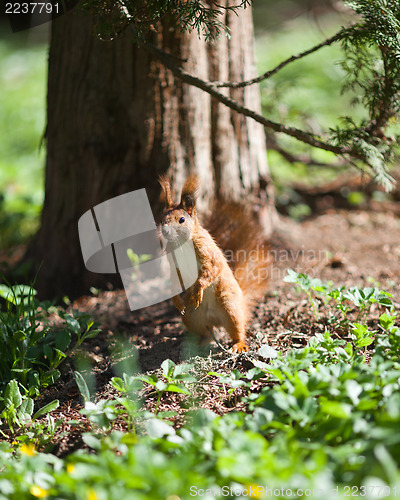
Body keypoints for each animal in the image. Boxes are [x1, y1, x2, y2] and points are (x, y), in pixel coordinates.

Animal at [159, 175, 268, 352]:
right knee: (205, 332)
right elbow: (175, 278)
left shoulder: (208, 253)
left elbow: (212, 270)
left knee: (238, 328)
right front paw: (176, 299)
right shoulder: (173, 262)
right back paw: (196, 344)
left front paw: (198, 290)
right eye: (162, 219)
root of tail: (214, 318)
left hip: (230, 307)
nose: (165, 231)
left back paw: (239, 344)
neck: (181, 244)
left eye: (182, 219)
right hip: (191, 316)